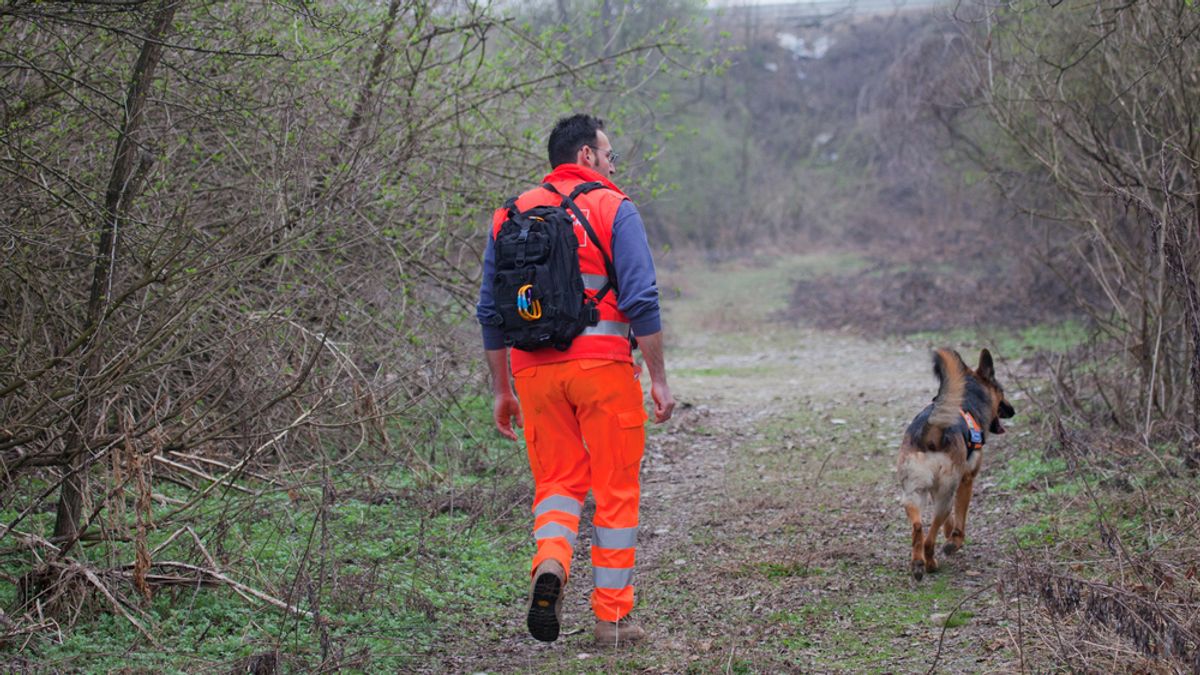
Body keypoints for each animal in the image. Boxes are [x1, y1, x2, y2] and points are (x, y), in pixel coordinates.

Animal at [902, 345, 1012, 578]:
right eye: (1002, 392)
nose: (1012, 410)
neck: (968, 396)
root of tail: (932, 431)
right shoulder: (966, 481)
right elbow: (960, 521)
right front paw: (954, 541)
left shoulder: (936, 491)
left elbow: (949, 522)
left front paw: (948, 533)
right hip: (945, 497)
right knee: (928, 539)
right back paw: (931, 563)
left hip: (914, 495)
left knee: (918, 528)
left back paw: (918, 564)